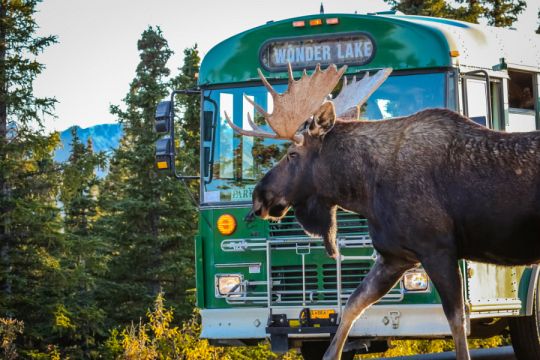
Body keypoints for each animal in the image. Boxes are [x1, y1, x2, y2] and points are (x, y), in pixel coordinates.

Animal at [225, 63, 540, 358]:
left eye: (292, 154)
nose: (259, 196)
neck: (364, 190)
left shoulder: (437, 249)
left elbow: (457, 321)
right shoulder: (395, 256)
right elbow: (352, 305)